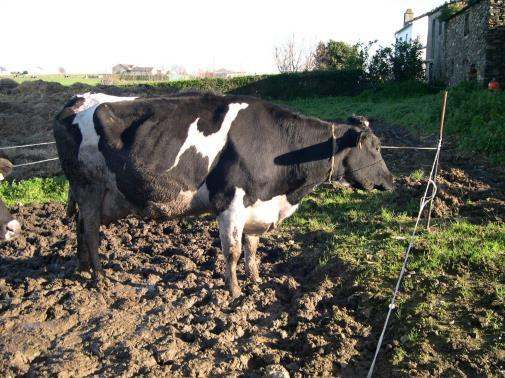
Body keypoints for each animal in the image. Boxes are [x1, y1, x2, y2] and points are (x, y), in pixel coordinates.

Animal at [55, 92, 394, 298]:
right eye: (375, 147)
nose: (391, 182)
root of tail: (78, 99)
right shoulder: (230, 202)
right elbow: (232, 251)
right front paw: (235, 292)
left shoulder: (257, 205)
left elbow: (252, 248)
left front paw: (255, 281)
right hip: (87, 185)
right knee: (90, 230)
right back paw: (100, 279)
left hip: (102, 194)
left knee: (81, 227)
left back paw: (83, 269)